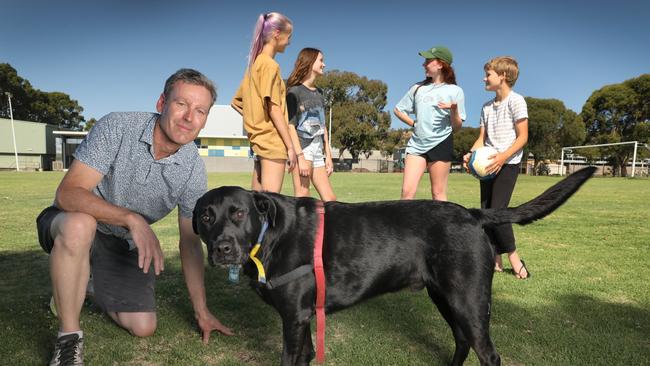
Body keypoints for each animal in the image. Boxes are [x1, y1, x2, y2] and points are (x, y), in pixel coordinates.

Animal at [191, 167, 592, 364]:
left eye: (238, 213)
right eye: (206, 216)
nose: (222, 248)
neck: (270, 234)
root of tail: (472, 214)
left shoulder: (294, 319)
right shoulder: (304, 319)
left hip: (469, 301)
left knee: (488, 354)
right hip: (444, 297)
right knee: (462, 341)